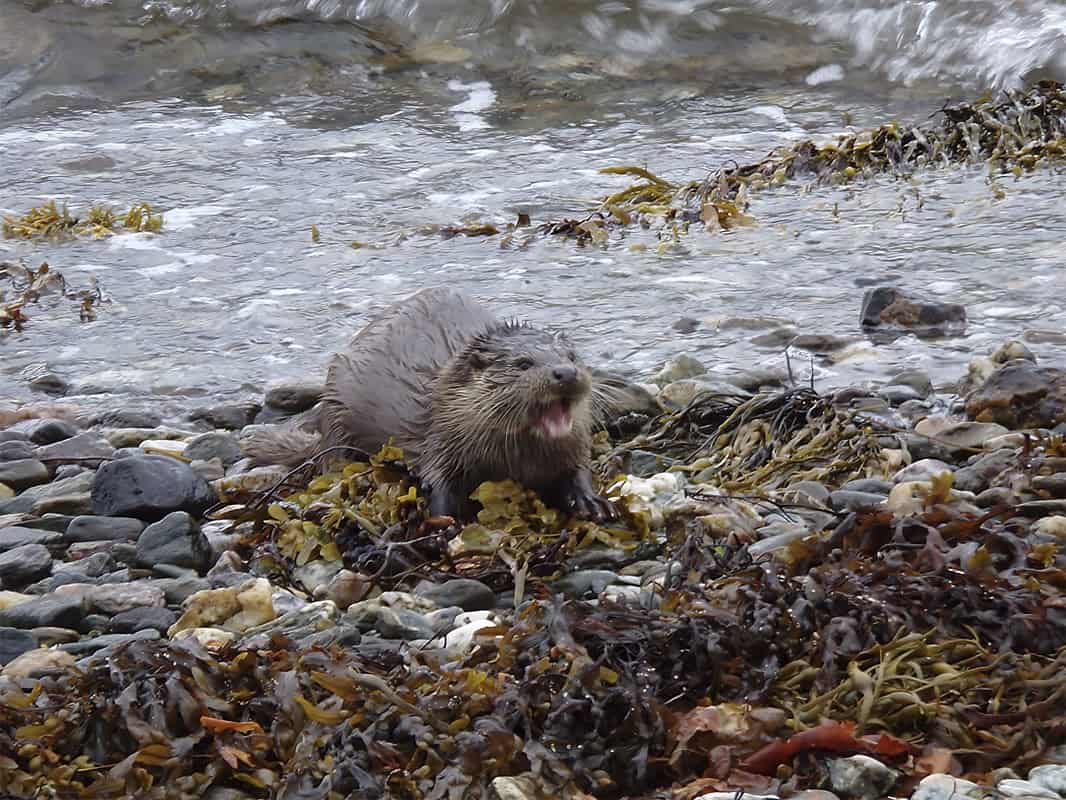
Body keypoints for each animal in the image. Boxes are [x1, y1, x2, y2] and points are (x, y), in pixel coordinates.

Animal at [243, 287, 616, 522]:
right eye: (523, 364)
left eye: (572, 356)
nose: (566, 373)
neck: (517, 461)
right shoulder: (442, 440)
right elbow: (437, 482)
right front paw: (442, 522)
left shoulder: (573, 446)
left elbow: (578, 470)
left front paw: (591, 501)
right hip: (336, 414)